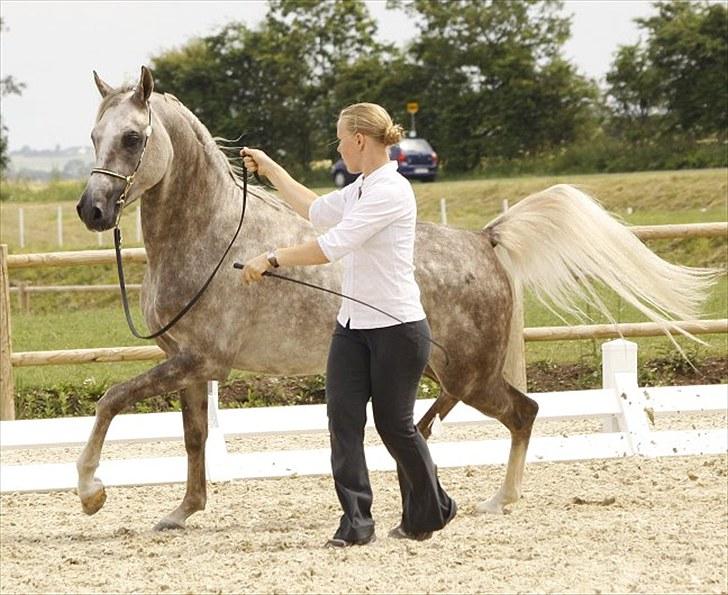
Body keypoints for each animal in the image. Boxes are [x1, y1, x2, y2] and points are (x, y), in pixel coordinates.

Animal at [77, 68, 712, 532]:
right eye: (93, 136)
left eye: (133, 138)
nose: (92, 210)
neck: (212, 238)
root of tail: (485, 239)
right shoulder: (188, 365)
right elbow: (193, 439)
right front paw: (181, 512)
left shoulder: (200, 361)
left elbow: (110, 400)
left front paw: (91, 492)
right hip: (443, 369)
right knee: (449, 418)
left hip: (471, 372)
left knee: (523, 413)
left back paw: (497, 501)